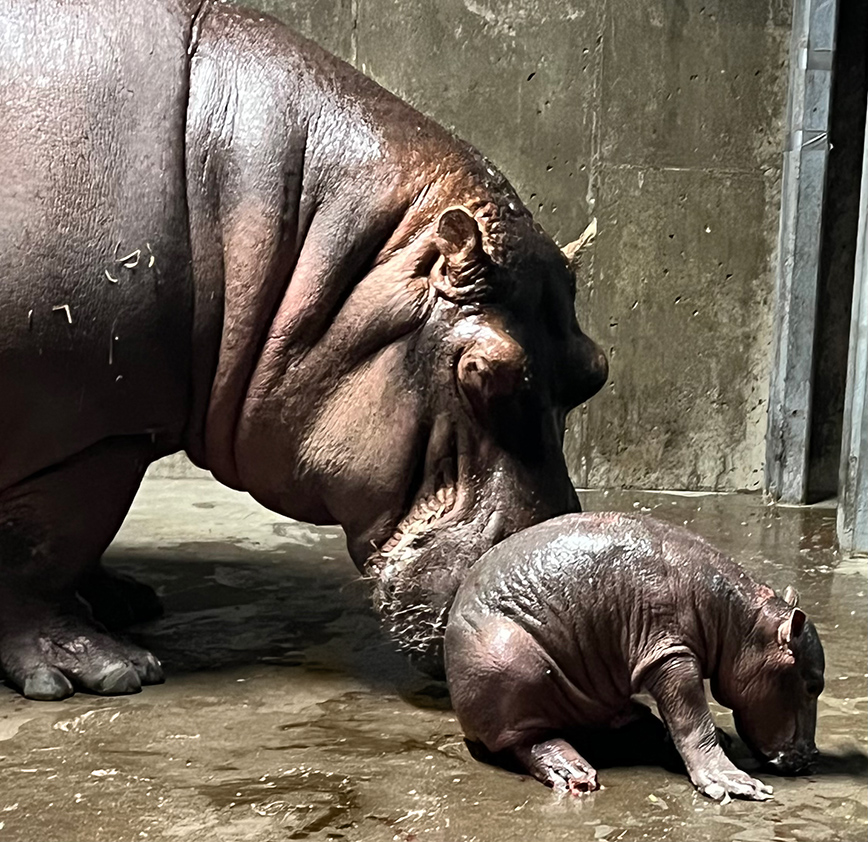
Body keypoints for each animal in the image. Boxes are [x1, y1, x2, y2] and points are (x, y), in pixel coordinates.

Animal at [0, 0, 608, 704]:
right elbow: (45, 548)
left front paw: (122, 599)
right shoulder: (90, 432)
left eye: (596, 370)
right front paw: (101, 672)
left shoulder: (118, 426)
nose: (570, 607)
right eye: (483, 372)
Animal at [448, 512, 828, 800]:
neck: (742, 621)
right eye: (813, 685)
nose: (812, 756)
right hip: (511, 665)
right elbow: (692, 719)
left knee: (628, 719)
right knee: (528, 740)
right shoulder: (669, 655)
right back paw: (575, 773)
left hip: (595, 696)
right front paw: (735, 784)